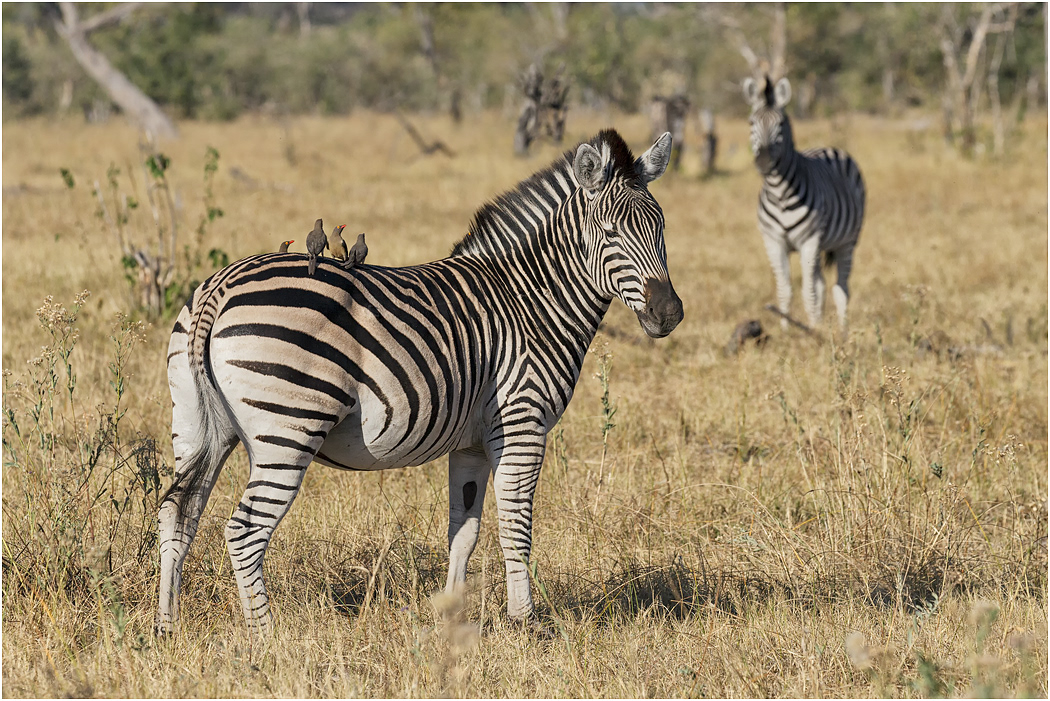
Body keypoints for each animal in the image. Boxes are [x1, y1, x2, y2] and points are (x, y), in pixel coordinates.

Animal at [156, 129, 684, 636]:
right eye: (610, 233)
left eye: (661, 227)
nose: (669, 314)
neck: (529, 299)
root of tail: (220, 285)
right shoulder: (522, 422)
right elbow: (516, 526)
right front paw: (526, 622)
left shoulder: (471, 443)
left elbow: (464, 530)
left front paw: (451, 617)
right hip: (289, 426)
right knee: (244, 531)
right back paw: (267, 640)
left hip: (197, 425)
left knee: (176, 513)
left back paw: (167, 628)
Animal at [743, 75, 866, 335]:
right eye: (751, 122)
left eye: (781, 124)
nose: (764, 161)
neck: (779, 191)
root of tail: (829, 147)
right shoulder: (773, 242)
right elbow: (785, 290)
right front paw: (787, 331)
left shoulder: (809, 241)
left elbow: (807, 291)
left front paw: (810, 333)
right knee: (821, 284)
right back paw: (818, 323)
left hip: (847, 241)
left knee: (841, 288)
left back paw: (842, 331)